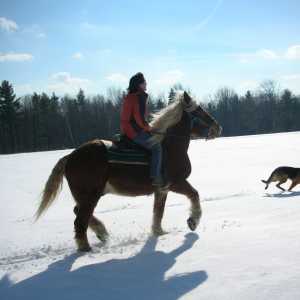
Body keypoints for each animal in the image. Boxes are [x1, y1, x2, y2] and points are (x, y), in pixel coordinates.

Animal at [35, 91, 223, 251]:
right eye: (199, 111)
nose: (218, 127)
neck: (170, 147)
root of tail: (70, 156)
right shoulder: (176, 183)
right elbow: (194, 194)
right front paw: (193, 221)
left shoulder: (161, 190)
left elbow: (158, 212)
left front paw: (158, 232)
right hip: (90, 196)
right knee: (79, 221)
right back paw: (85, 248)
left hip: (87, 195)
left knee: (79, 213)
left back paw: (102, 233)